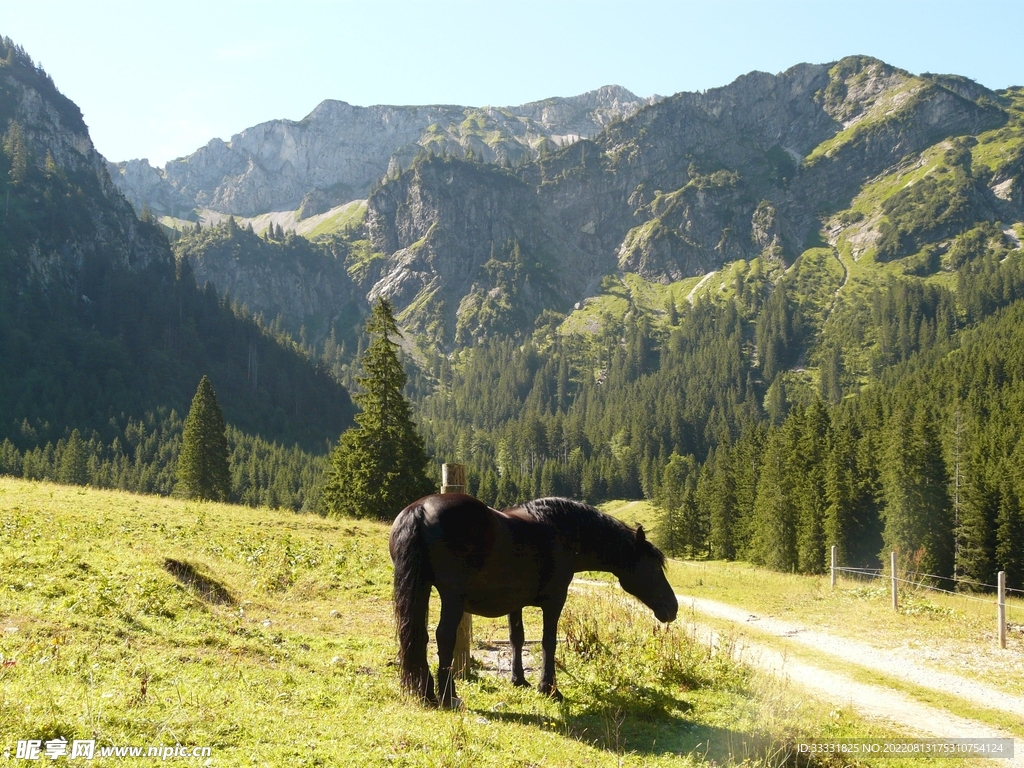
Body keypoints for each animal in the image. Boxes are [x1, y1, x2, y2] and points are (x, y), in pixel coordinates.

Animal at [389, 493, 678, 708]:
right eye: (653, 567)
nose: (672, 608)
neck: (560, 532)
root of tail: (420, 509)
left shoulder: (514, 603)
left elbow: (517, 637)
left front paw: (519, 680)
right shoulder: (554, 601)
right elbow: (548, 642)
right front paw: (549, 688)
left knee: (418, 636)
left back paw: (426, 693)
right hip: (452, 597)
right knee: (443, 638)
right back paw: (448, 697)